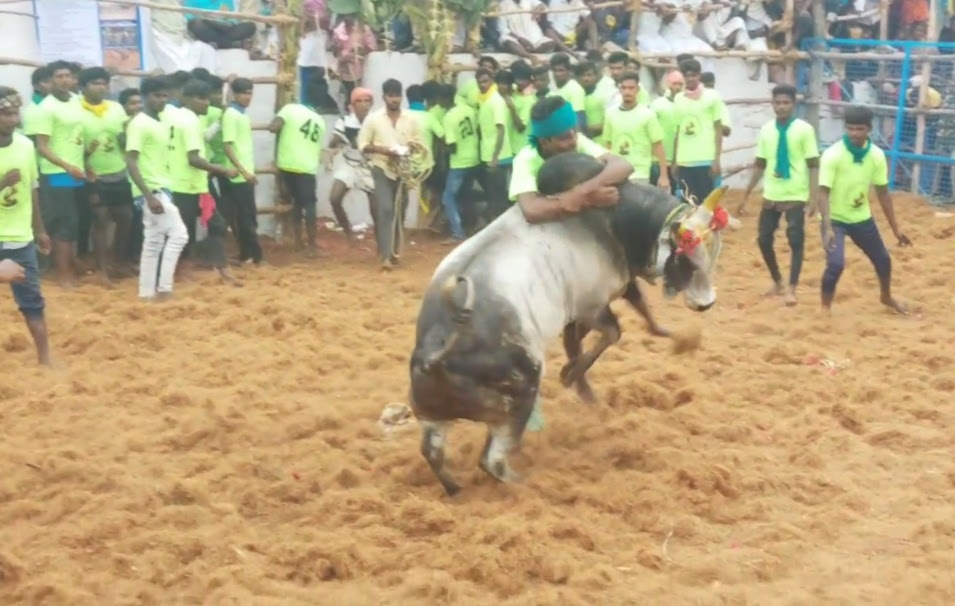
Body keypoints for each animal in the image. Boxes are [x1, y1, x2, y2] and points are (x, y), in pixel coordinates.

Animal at [408, 150, 732, 496]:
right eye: (687, 260)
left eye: (714, 252)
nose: (706, 303)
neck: (612, 220)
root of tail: (433, 353)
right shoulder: (592, 306)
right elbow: (611, 334)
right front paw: (572, 377)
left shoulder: (603, 297)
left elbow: (633, 317)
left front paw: (671, 337)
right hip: (520, 397)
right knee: (491, 460)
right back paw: (523, 485)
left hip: (432, 417)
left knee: (432, 451)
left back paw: (455, 489)